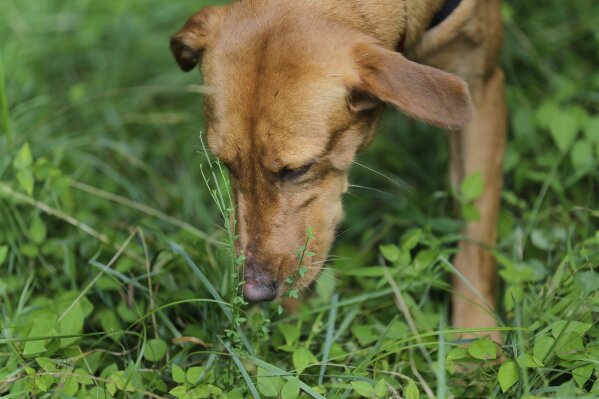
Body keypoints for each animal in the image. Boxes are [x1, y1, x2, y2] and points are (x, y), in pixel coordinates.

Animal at [170, 0, 506, 340]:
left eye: (299, 168)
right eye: (226, 164)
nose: (254, 293)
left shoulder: (482, 88)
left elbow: (476, 234)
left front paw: (476, 331)